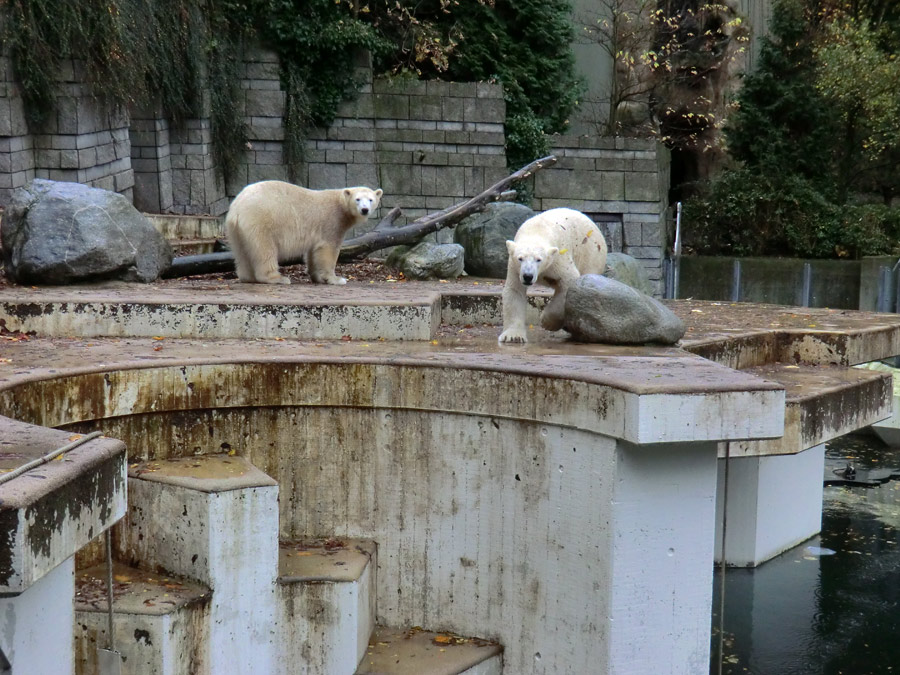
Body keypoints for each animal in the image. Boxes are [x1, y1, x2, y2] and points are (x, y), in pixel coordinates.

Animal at [227, 181, 382, 284]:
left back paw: (248, 277)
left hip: (236, 229)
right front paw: (336, 279)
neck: (341, 206)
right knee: (265, 249)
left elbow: (313, 252)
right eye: (357, 199)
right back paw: (278, 278)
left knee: (241, 251)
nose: (365, 210)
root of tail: (237, 207)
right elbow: (328, 249)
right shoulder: (332, 222)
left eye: (370, 199)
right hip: (261, 220)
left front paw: (318, 277)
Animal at [496, 207, 608, 346]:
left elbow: (569, 283)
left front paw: (547, 322)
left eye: (538, 259)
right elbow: (515, 291)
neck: (537, 230)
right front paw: (513, 336)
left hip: (590, 253)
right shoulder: (515, 268)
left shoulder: (558, 258)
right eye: (520, 258)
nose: (528, 276)